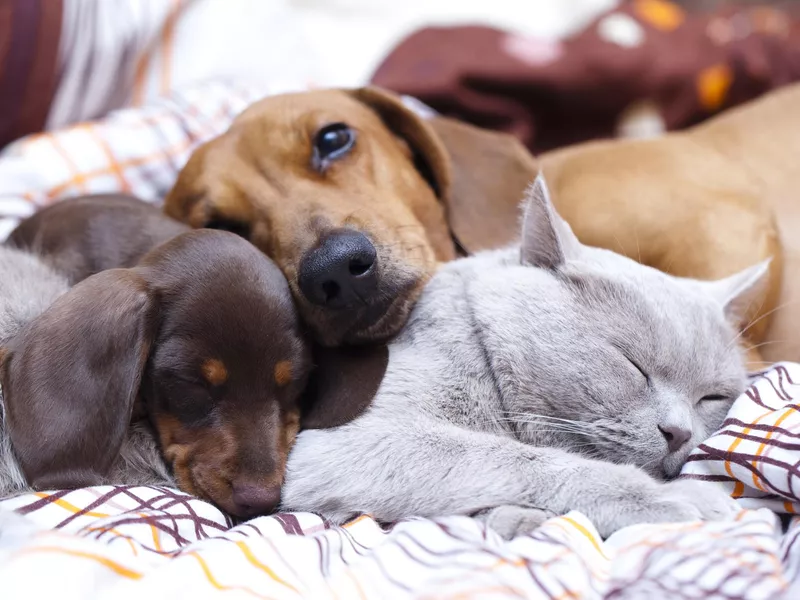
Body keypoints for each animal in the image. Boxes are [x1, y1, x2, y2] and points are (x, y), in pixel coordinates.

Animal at [282, 176, 768, 536]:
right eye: (633, 365)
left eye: (711, 397)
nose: (679, 433)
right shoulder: (342, 441)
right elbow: (510, 458)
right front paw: (678, 497)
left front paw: (516, 518)